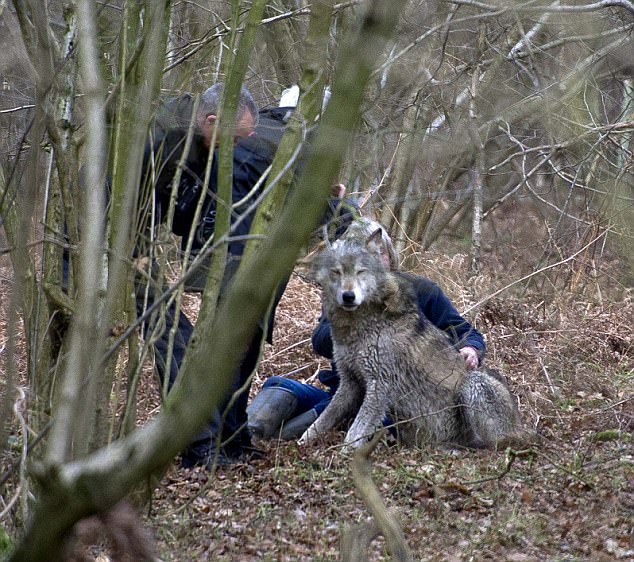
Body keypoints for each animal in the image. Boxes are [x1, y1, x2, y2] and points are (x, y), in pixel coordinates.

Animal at [298, 229, 524, 450]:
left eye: (361, 271)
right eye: (336, 272)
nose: (348, 296)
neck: (361, 323)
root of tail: (521, 426)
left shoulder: (380, 385)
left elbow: (355, 432)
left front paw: (345, 456)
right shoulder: (350, 382)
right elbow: (322, 419)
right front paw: (301, 443)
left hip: (473, 383)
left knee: (494, 445)